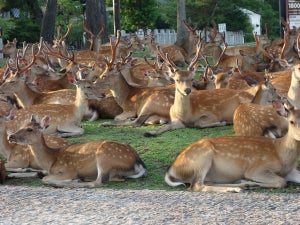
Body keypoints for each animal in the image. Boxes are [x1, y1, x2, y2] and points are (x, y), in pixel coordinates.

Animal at [9, 114, 149, 188]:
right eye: (21, 126)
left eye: (30, 129)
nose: (11, 136)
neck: (51, 160)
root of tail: (139, 163)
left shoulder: (68, 170)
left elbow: (45, 179)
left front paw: (67, 180)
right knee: (116, 179)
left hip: (104, 156)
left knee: (98, 182)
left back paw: (75, 181)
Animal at [165, 101, 300, 192]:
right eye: (291, 121)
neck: (281, 155)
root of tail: (171, 170)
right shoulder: (257, 168)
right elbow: (281, 182)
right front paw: (250, 181)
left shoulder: (290, 170)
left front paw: (248, 182)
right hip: (202, 158)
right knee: (197, 185)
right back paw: (238, 187)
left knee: (206, 182)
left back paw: (242, 185)